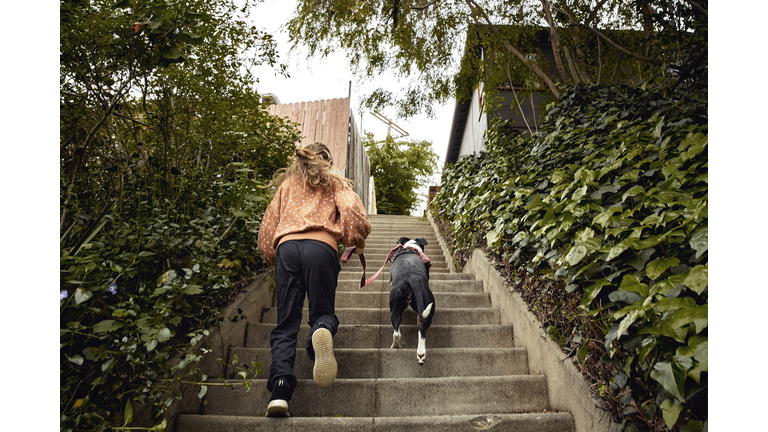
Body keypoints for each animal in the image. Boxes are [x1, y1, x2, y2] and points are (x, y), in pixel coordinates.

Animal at [388, 236, 436, 364]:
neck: (411, 247)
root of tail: (412, 277)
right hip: (425, 301)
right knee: (420, 330)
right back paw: (420, 353)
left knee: (399, 331)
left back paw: (397, 346)